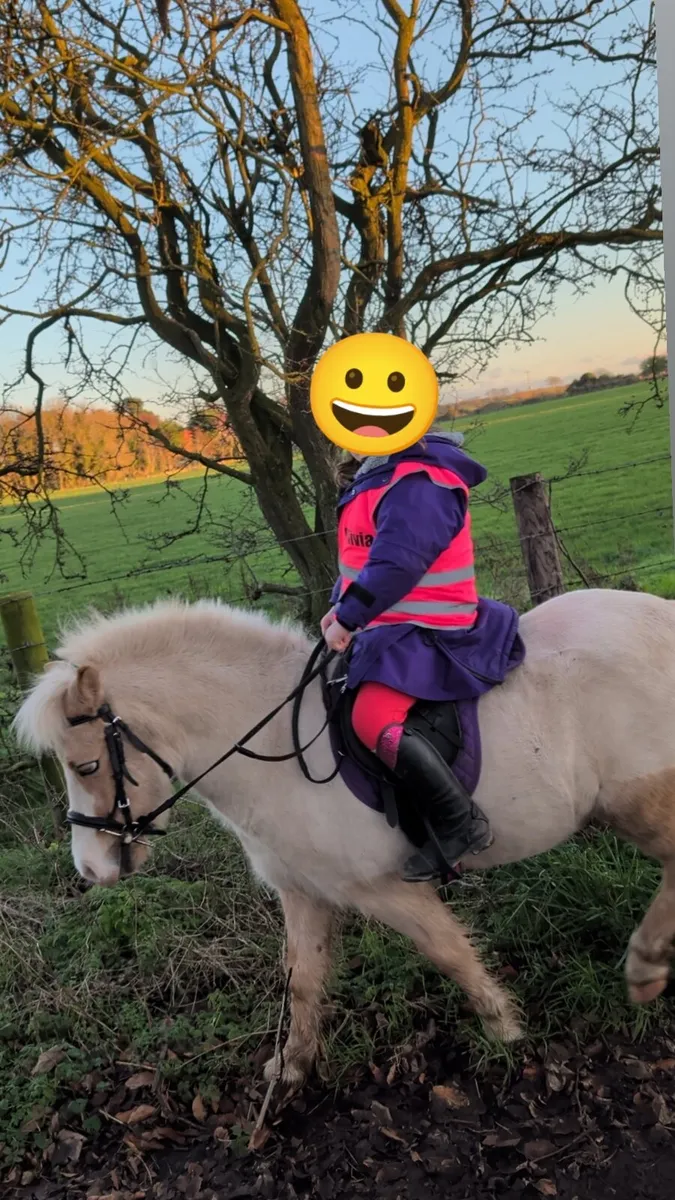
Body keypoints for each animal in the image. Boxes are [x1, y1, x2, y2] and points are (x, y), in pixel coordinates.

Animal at [14, 587, 675, 1097]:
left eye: (86, 766)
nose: (91, 870)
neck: (274, 746)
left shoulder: (382, 889)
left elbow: (449, 952)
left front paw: (504, 1030)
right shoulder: (303, 892)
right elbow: (303, 979)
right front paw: (291, 1070)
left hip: (637, 804)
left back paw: (645, 965)